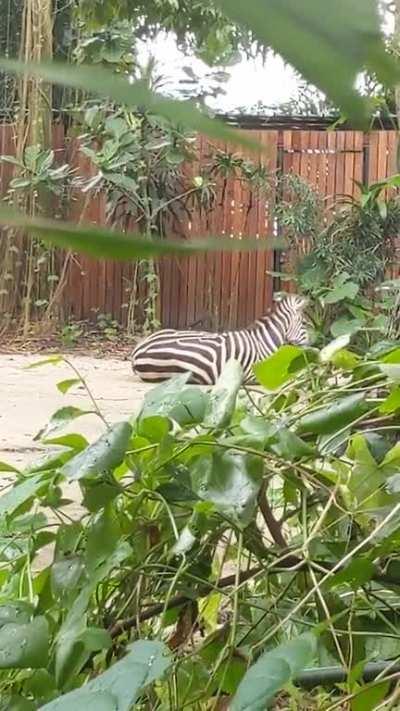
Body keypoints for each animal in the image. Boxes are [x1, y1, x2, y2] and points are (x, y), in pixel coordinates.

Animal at [131, 294, 309, 385]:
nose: (310, 343)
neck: (263, 342)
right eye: (305, 323)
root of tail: (137, 351)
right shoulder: (257, 374)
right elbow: (291, 375)